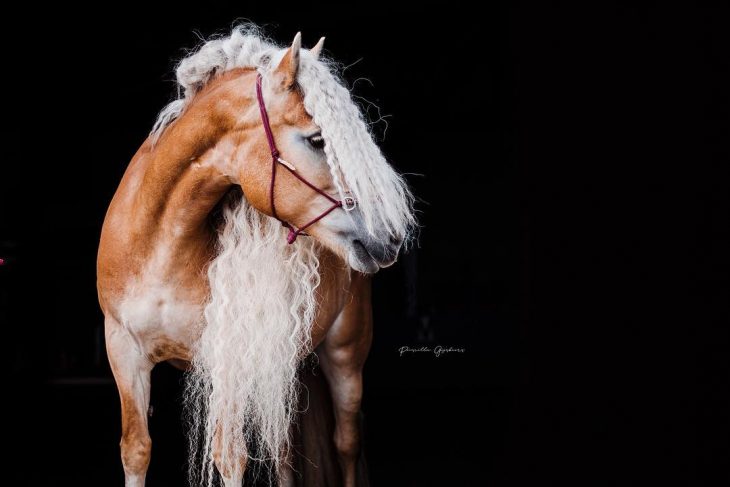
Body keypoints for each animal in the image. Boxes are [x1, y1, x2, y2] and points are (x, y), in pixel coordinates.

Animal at [96, 25, 412, 487]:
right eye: (317, 139)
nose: (387, 238)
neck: (160, 245)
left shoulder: (228, 357)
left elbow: (230, 458)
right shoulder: (124, 349)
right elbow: (136, 451)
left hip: (345, 353)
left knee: (346, 443)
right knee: (283, 452)